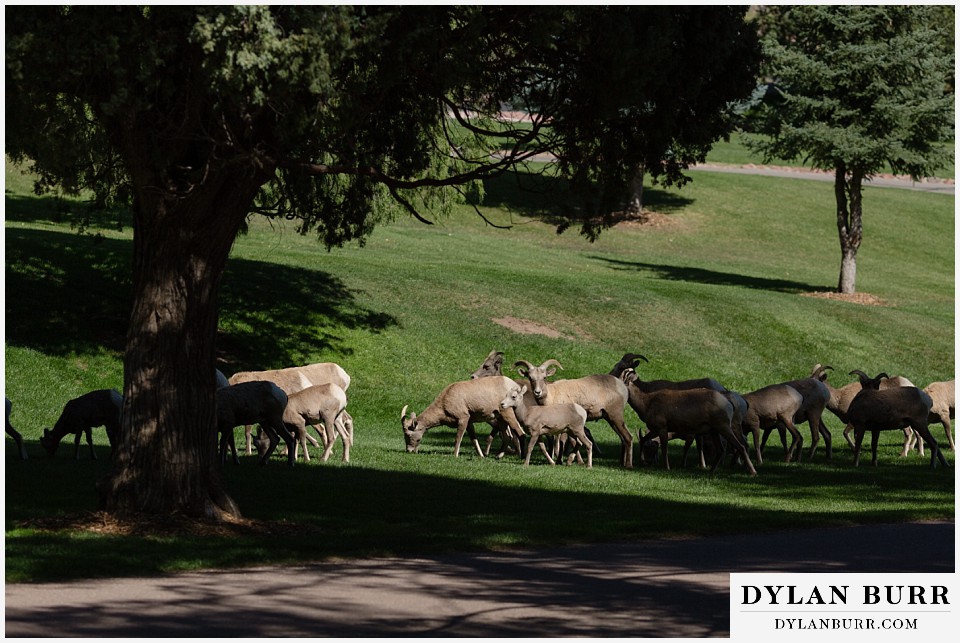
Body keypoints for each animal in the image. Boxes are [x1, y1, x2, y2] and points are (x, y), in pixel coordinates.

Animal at [620, 370, 756, 475]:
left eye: (622, 380)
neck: (646, 403)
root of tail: (729, 403)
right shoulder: (655, 429)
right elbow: (643, 440)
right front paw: (642, 461)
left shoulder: (663, 428)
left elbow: (664, 448)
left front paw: (667, 467)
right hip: (715, 431)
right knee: (721, 450)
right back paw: (711, 472)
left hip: (724, 427)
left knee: (741, 446)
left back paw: (752, 471)